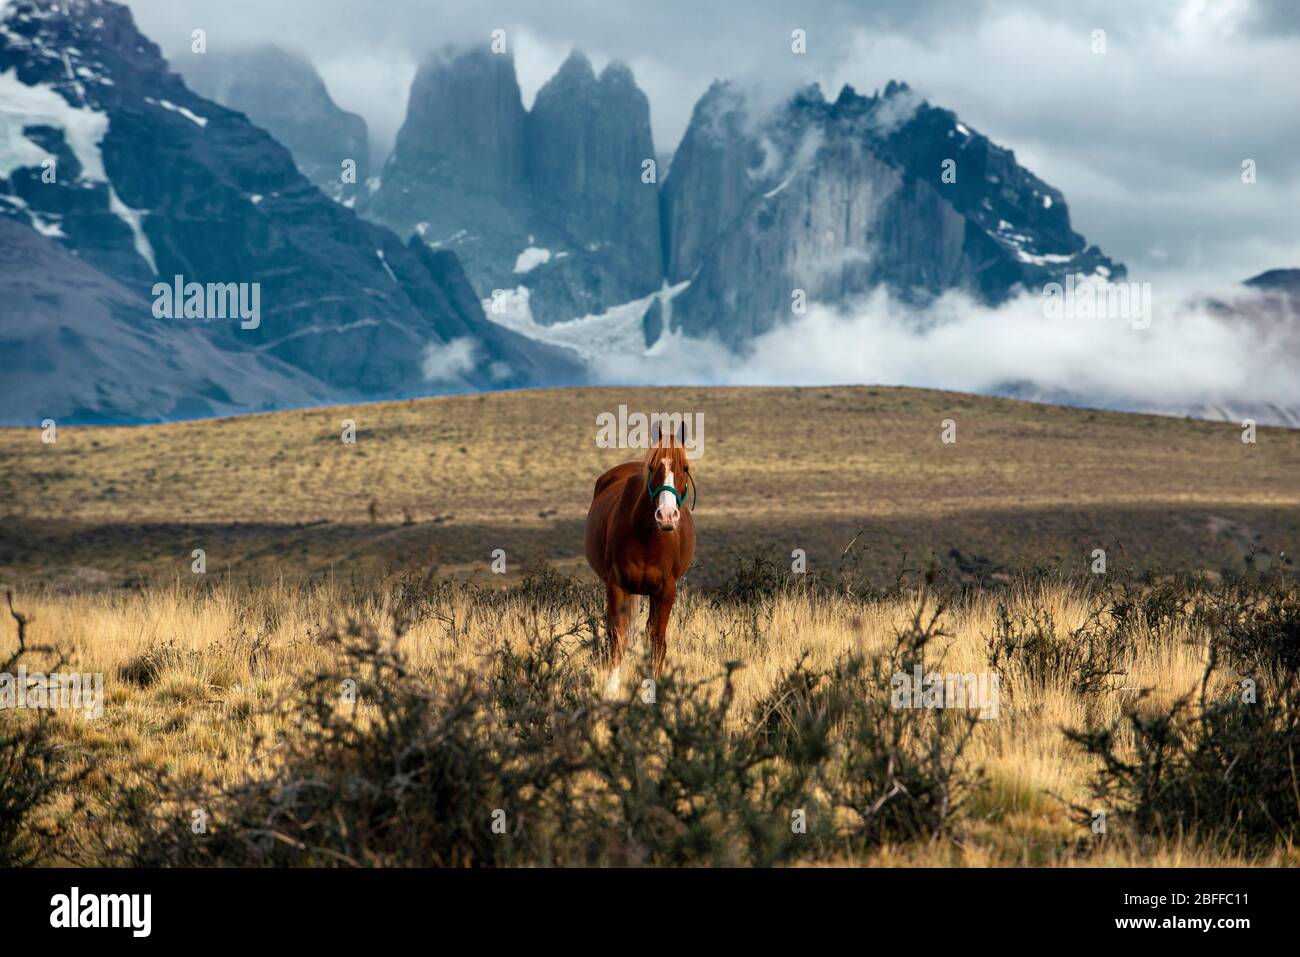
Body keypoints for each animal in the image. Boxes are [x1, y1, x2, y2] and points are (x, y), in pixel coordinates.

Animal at [584, 425, 696, 697]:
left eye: (685, 468)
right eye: (653, 467)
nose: (666, 516)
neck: (649, 541)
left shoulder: (665, 590)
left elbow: (657, 639)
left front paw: (651, 688)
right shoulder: (617, 586)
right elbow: (618, 637)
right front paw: (611, 688)